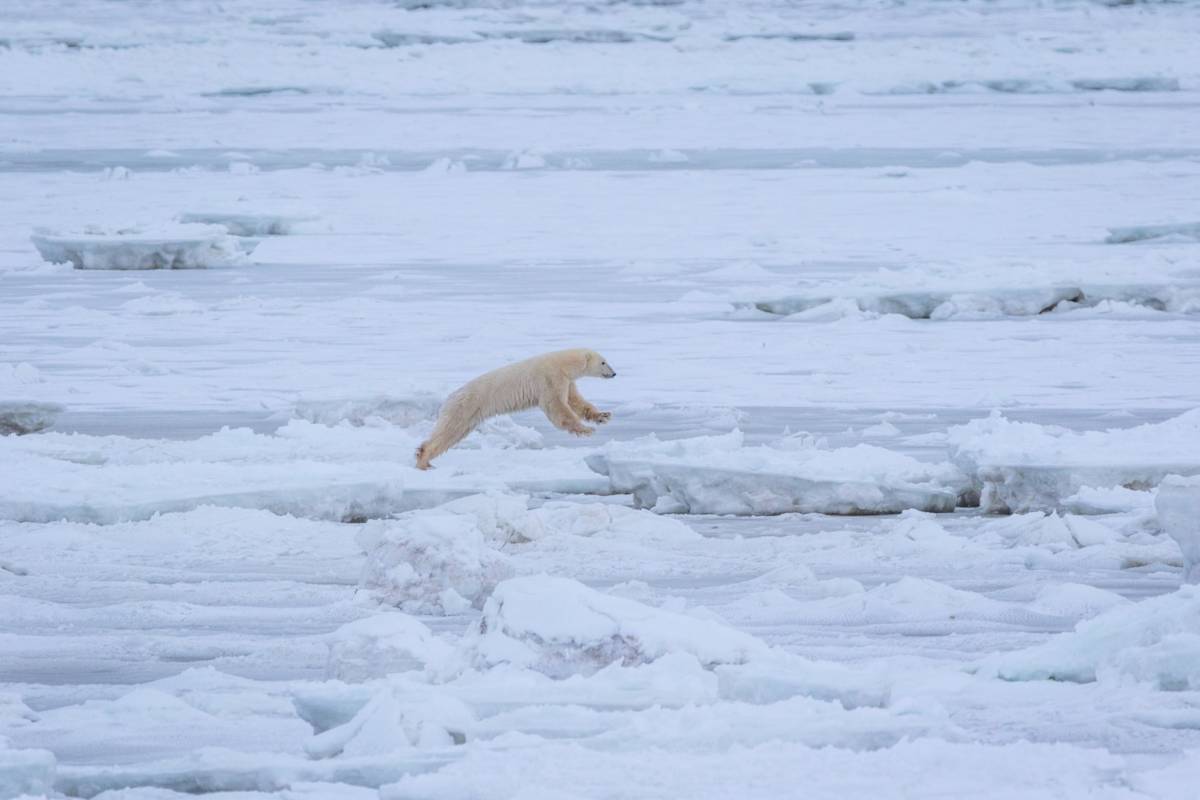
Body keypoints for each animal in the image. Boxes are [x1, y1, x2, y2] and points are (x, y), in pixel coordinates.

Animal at [415, 348, 617, 470]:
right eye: (604, 362)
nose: (614, 373)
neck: (562, 364)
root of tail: (450, 397)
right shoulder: (550, 379)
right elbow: (557, 408)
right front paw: (586, 430)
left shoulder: (567, 382)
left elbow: (576, 401)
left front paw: (603, 416)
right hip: (466, 406)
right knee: (449, 430)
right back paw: (424, 460)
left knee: (453, 434)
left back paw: (426, 460)